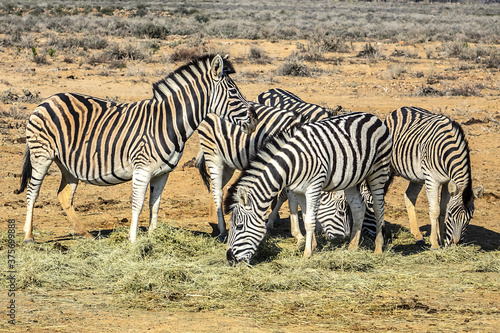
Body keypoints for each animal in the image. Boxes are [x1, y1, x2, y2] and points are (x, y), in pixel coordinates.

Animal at [15, 53, 258, 243]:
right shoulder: (142, 169)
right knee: (32, 192)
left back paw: (86, 235)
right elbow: (138, 204)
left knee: (64, 196)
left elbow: (154, 205)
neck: (167, 122)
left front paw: (152, 236)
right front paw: (132, 242)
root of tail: (47, 100)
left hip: (68, 164)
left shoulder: (162, 173)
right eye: (234, 93)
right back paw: (28, 236)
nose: (254, 120)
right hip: (42, 155)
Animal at [195, 97, 332, 240]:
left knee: (216, 187)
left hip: (227, 163)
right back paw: (222, 231)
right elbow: (291, 199)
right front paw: (298, 233)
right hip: (213, 154)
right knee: (217, 191)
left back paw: (214, 224)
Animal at [225, 112, 392, 264]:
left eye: (239, 226)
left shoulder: (314, 187)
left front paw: (307, 254)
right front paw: (312, 246)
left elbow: (310, 220)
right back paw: (352, 247)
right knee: (359, 208)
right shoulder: (299, 190)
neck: (291, 164)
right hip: (351, 179)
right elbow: (305, 218)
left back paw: (378, 248)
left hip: (379, 171)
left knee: (378, 208)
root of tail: (373, 117)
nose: (229, 259)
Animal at [384, 105, 482, 248]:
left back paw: (418, 235)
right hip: (388, 165)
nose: (455, 244)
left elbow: (442, 209)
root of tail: (402, 108)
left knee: (409, 195)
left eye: (470, 218)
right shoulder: (432, 180)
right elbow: (435, 210)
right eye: (451, 215)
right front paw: (435, 244)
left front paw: (441, 239)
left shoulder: (447, 182)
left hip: (417, 176)